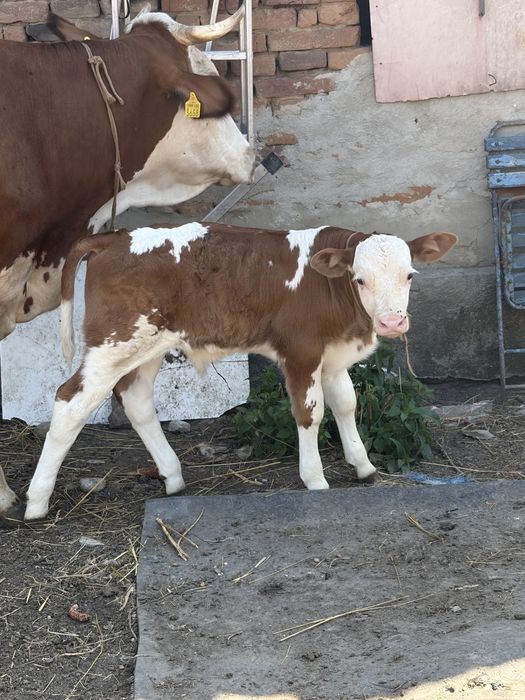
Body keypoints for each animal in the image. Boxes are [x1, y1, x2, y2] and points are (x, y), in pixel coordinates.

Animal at [18, 223, 457, 521]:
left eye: (409, 275)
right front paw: (314, 478)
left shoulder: (331, 355)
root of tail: (113, 237)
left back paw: (173, 476)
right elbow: (310, 413)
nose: (391, 323)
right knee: (71, 401)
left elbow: (346, 404)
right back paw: (37, 501)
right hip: (114, 341)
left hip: (146, 344)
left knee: (136, 399)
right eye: (360, 278)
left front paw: (363, 466)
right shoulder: (301, 351)